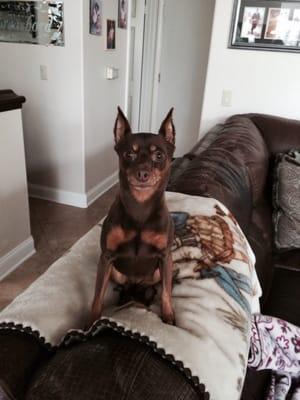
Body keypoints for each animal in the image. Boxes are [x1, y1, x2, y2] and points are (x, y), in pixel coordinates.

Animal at [91, 107, 176, 324]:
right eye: (128, 154)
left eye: (159, 155)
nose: (143, 173)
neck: (140, 206)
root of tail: (136, 282)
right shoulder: (107, 257)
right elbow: (97, 297)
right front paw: (89, 323)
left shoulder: (165, 256)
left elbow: (166, 292)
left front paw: (168, 316)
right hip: (116, 271)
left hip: (158, 271)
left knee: (157, 285)